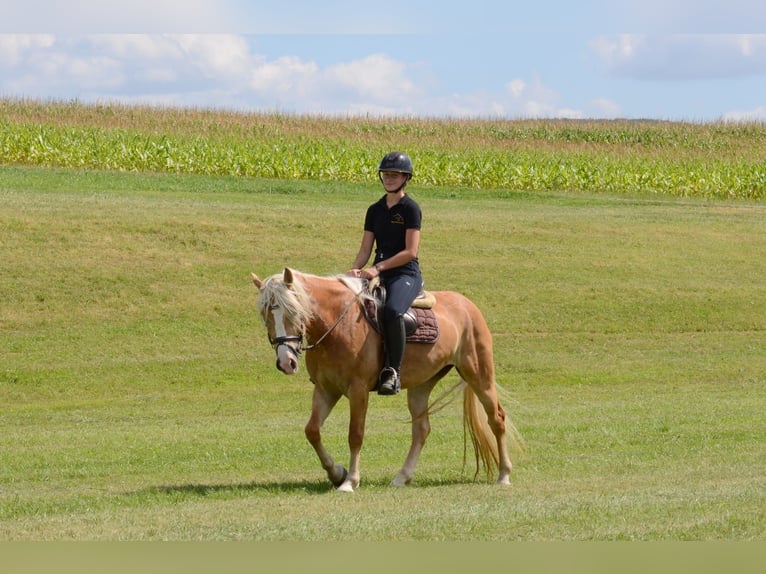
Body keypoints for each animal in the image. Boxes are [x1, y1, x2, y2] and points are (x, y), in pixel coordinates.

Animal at [252, 268, 520, 492]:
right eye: (265, 315)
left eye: (293, 311)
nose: (286, 362)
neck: (339, 323)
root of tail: (467, 306)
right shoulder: (326, 389)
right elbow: (312, 431)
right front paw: (336, 473)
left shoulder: (358, 389)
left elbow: (355, 434)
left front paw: (350, 481)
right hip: (422, 385)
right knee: (421, 429)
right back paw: (402, 477)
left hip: (479, 375)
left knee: (497, 419)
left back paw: (504, 475)